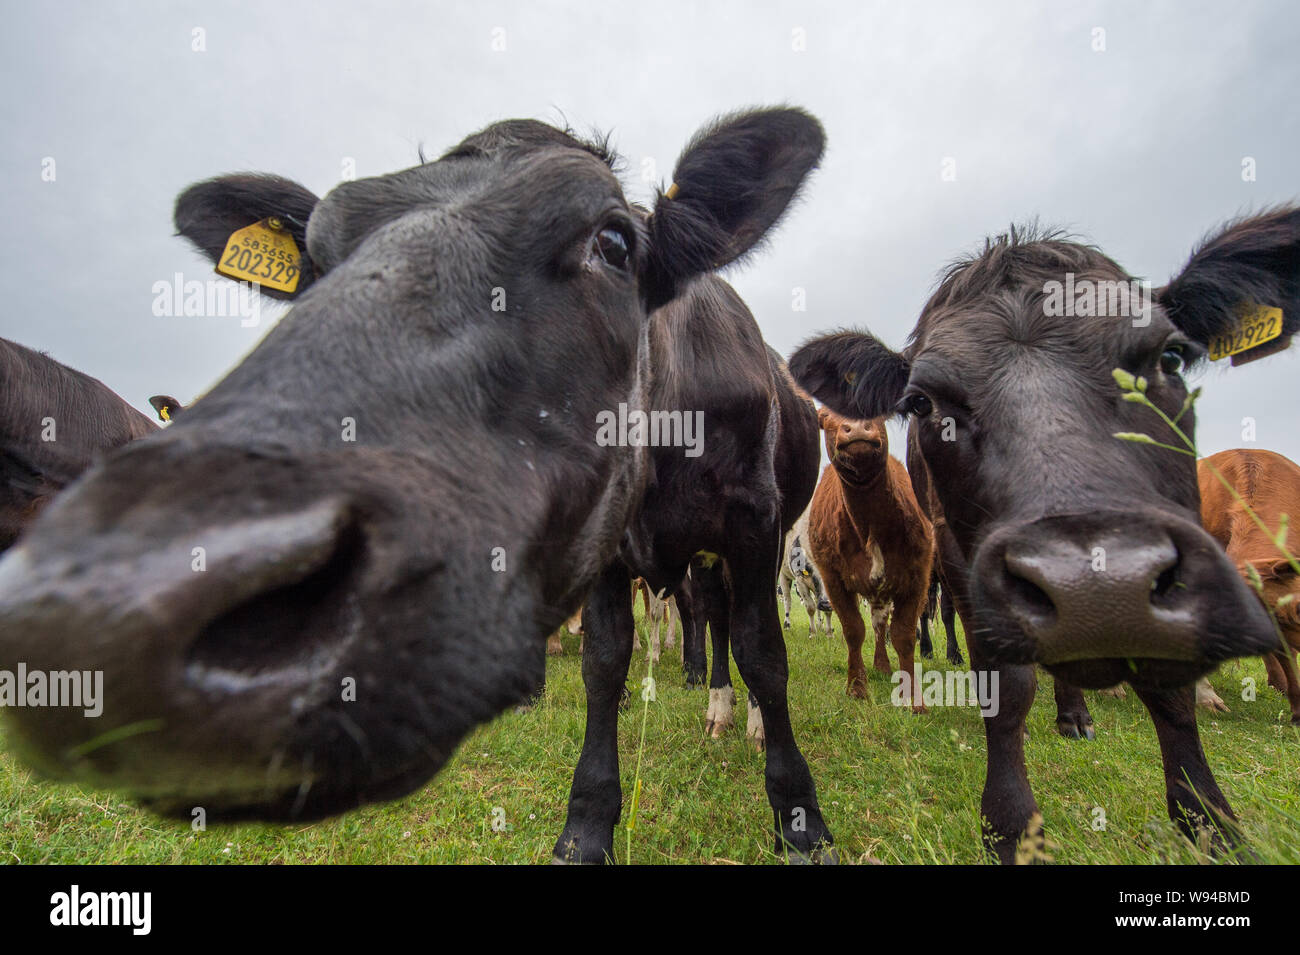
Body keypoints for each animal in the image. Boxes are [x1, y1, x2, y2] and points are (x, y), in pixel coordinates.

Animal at [800, 407, 935, 712]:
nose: (858, 428)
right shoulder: (832, 579)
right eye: (826, 416)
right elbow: (853, 630)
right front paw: (857, 688)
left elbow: (903, 635)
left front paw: (913, 698)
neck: (870, 524)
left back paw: (883, 665)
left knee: (881, 624)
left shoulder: (918, 576)